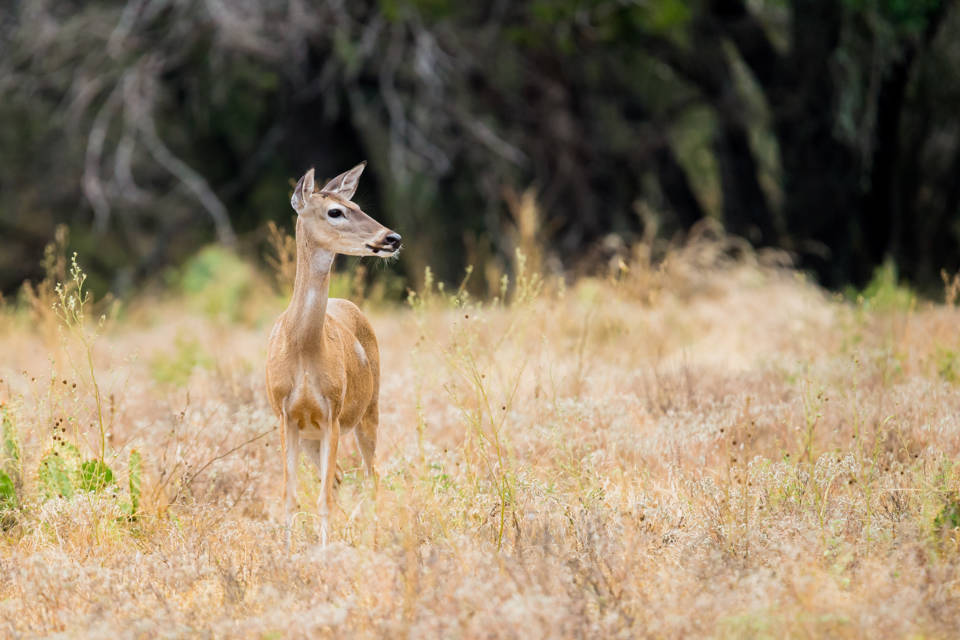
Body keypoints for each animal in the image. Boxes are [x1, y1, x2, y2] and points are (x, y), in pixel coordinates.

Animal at [264, 162, 400, 548]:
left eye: (358, 205)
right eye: (335, 211)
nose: (392, 238)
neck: (303, 350)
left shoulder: (332, 413)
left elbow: (322, 496)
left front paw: (324, 551)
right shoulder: (286, 416)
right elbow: (290, 495)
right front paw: (286, 551)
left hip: (369, 410)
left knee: (371, 476)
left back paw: (371, 538)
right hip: (313, 436)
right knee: (341, 477)